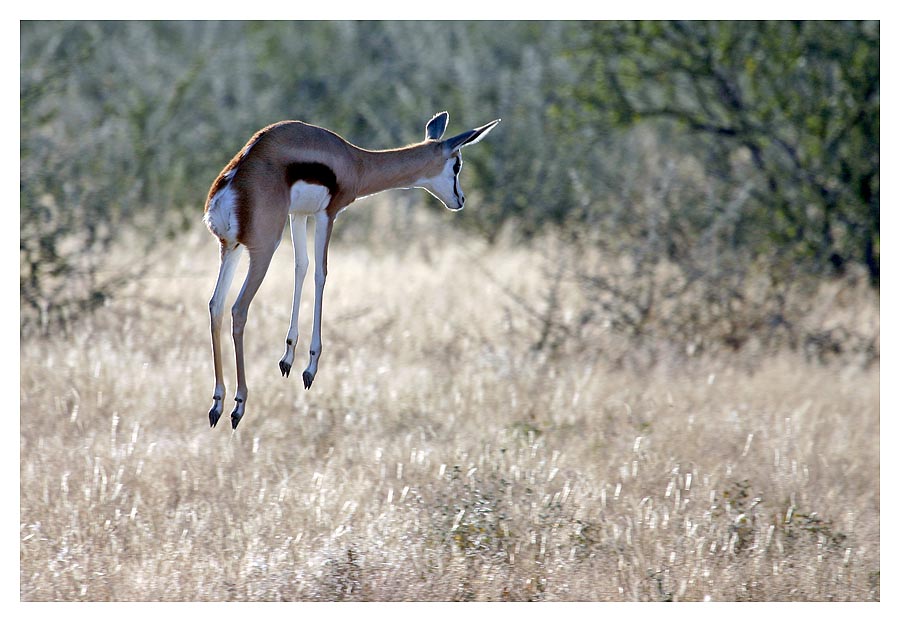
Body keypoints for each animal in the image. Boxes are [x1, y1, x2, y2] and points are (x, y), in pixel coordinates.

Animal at [203, 113, 500, 428]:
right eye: (457, 164)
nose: (460, 200)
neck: (355, 161)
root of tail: (230, 185)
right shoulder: (327, 214)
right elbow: (321, 274)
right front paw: (310, 369)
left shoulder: (299, 214)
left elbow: (301, 267)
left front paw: (287, 358)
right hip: (263, 249)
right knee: (238, 309)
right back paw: (238, 406)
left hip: (231, 248)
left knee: (216, 306)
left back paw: (217, 404)